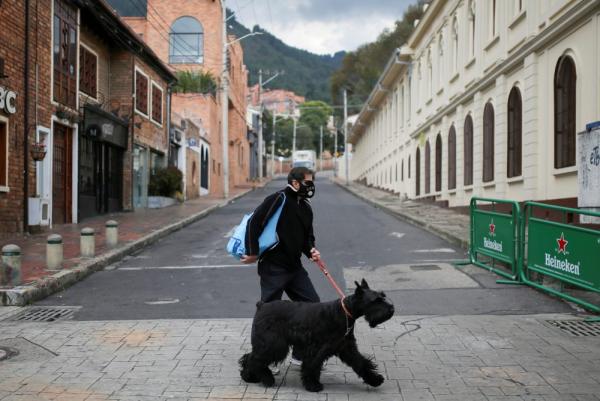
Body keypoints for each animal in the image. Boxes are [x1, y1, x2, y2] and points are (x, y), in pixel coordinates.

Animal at [239, 278, 394, 390]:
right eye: (375, 300)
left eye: (383, 296)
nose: (391, 309)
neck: (345, 312)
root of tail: (262, 305)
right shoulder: (317, 349)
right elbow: (312, 365)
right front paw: (313, 385)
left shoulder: (347, 347)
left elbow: (361, 362)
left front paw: (375, 379)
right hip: (274, 344)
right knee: (255, 359)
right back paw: (267, 378)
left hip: (269, 344)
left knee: (250, 357)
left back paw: (249, 377)